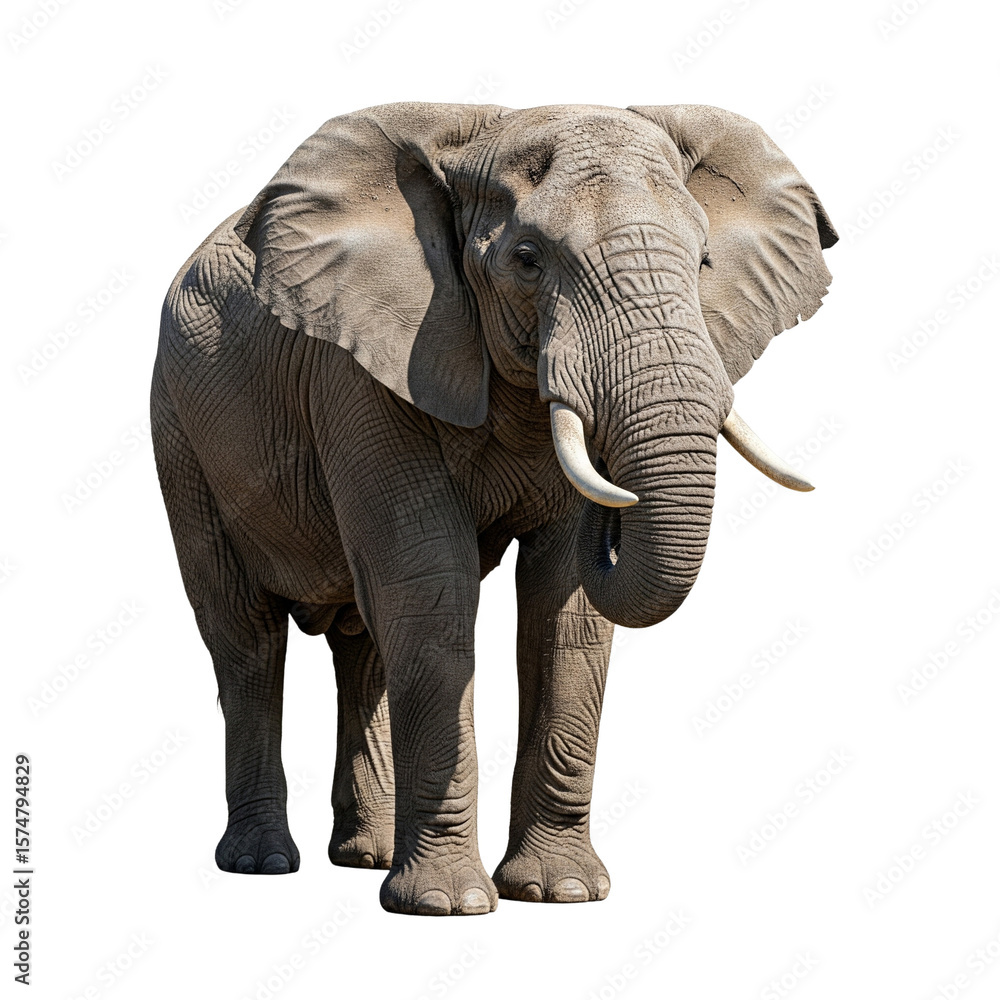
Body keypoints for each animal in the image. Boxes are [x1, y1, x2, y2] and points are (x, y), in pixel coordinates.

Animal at [151, 101, 837, 916]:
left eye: (703, 263)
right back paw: (262, 864)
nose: (618, 504)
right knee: (247, 638)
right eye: (528, 259)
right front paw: (445, 906)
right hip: (181, 435)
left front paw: (561, 892)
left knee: (364, 642)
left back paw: (364, 856)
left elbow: (563, 608)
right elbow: (432, 586)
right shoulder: (363, 369)